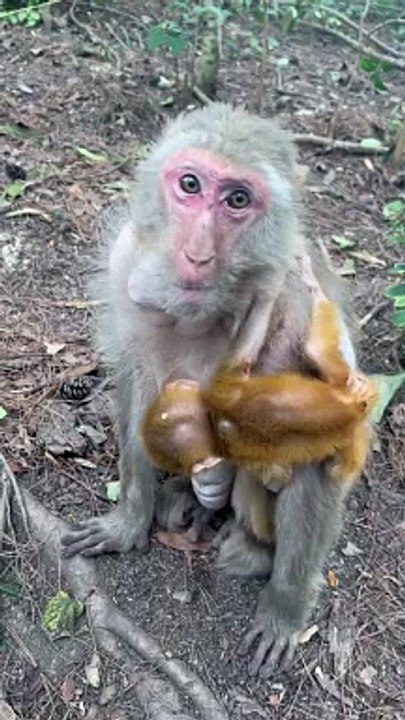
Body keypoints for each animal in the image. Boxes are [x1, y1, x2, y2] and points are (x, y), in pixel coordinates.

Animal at [61, 104, 371, 677]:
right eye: (190, 184)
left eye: (238, 200)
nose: (198, 255)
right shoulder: (125, 263)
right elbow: (135, 378)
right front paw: (128, 521)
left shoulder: (299, 299)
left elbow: (328, 439)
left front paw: (284, 608)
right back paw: (181, 500)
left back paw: (249, 549)